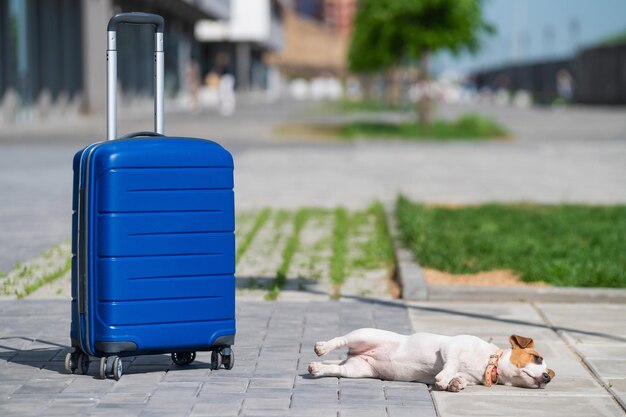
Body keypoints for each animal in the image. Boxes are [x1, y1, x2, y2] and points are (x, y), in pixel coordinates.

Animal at [308, 328, 552, 390]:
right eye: (537, 358)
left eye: (552, 374)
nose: (548, 377)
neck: (488, 362)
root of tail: (356, 354)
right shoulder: (451, 346)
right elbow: (451, 363)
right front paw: (443, 378)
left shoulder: (469, 375)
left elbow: (461, 378)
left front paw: (456, 384)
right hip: (365, 335)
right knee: (340, 340)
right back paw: (322, 347)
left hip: (358, 369)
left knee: (337, 369)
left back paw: (317, 368)